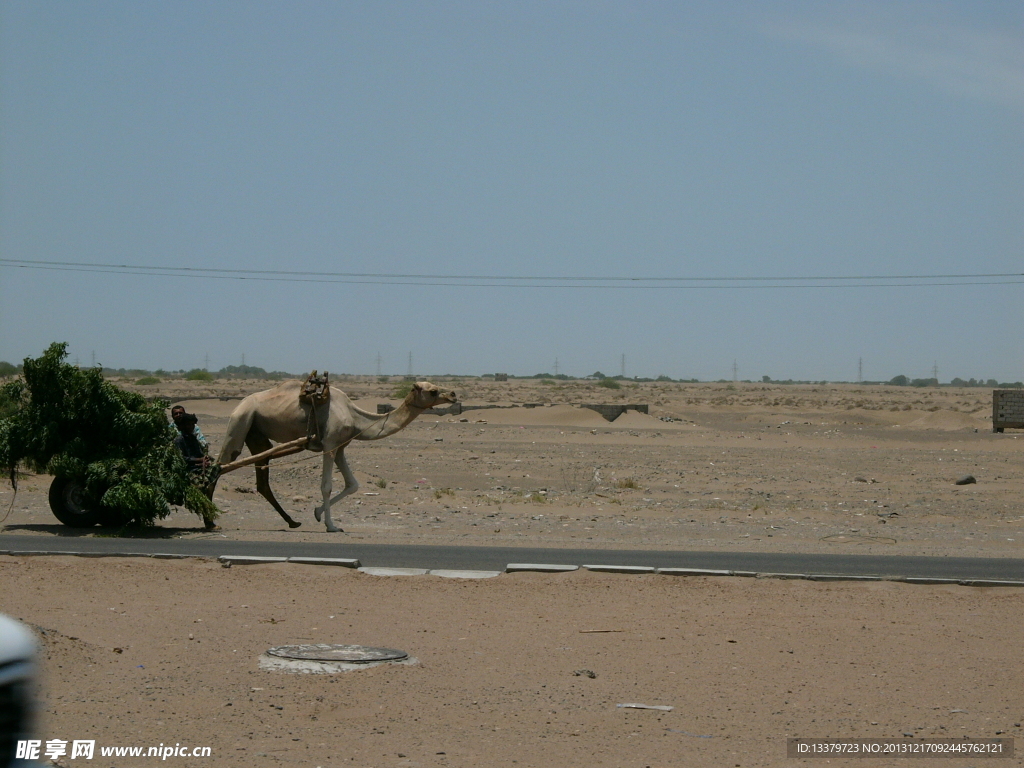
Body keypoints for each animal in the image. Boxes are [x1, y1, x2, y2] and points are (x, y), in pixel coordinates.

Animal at [212, 380, 456, 536]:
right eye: (433, 391)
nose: (453, 395)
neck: (356, 418)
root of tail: (238, 404)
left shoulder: (340, 447)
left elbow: (353, 484)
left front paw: (317, 513)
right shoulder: (329, 445)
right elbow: (327, 486)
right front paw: (331, 526)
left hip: (257, 434)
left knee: (261, 480)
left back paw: (292, 522)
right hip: (241, 421)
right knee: (219, 467)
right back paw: (210, 521)